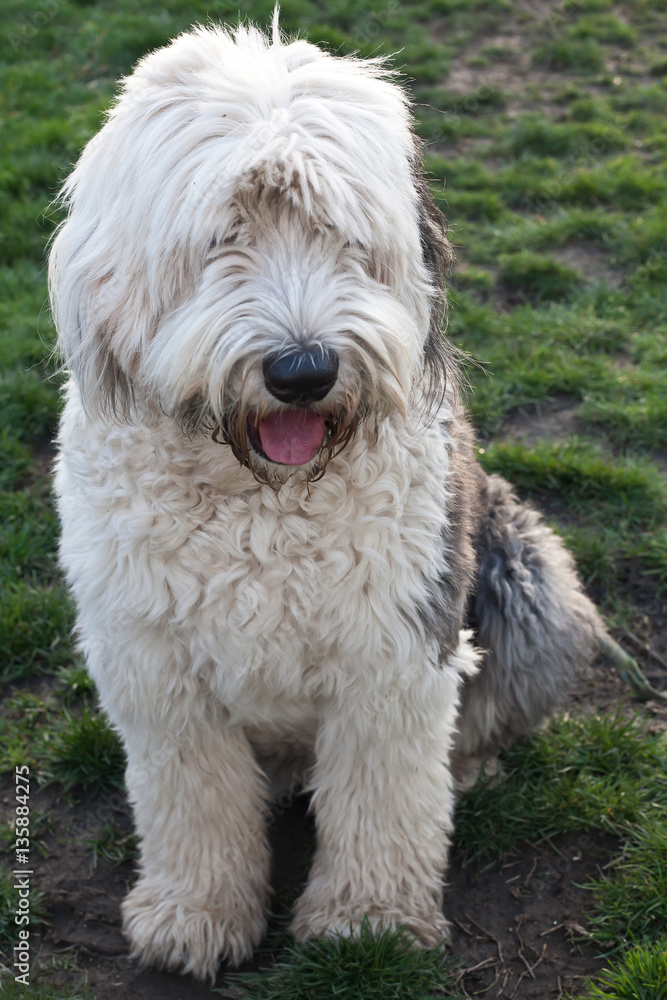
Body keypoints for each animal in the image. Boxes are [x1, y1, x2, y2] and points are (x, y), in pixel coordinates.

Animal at [51, 13, 604, 984]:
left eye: (342, 235)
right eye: (221, 237)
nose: (303, 371)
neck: (262, 501)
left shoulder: (393, 650)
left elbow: (384, 794)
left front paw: (367, 922)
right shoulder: (152, 667)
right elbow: (191, 796)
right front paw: (193, 916)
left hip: (526, 575)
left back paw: (471, 768)